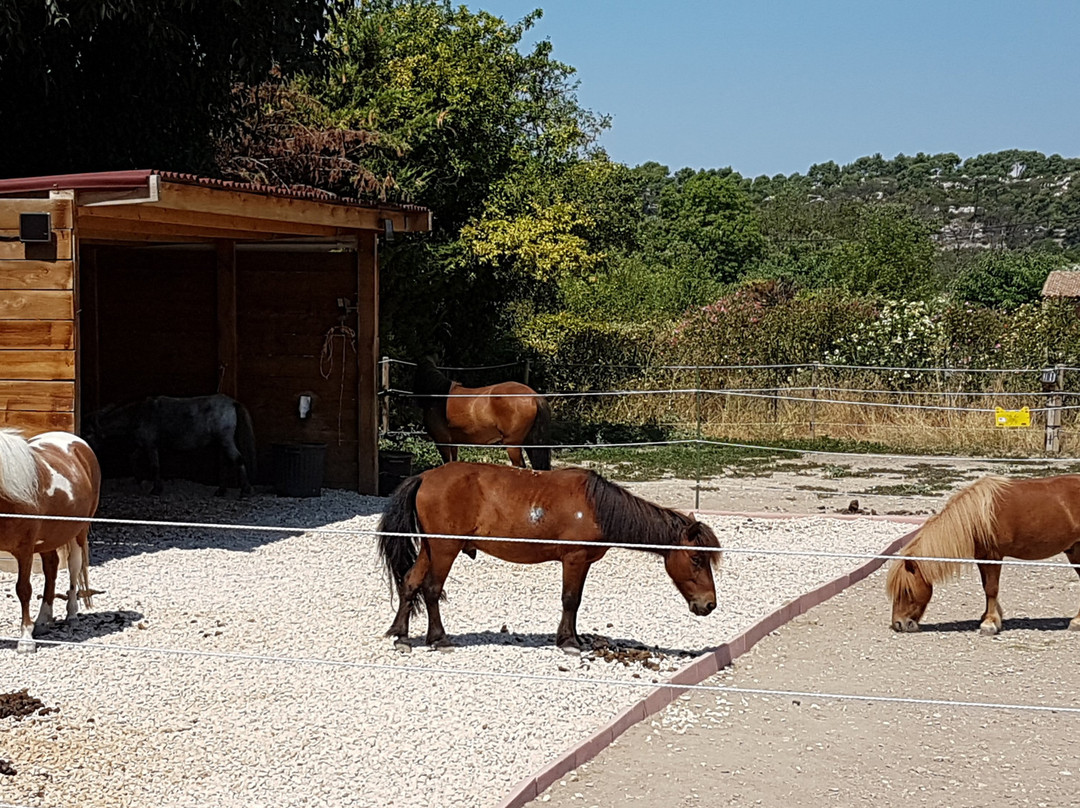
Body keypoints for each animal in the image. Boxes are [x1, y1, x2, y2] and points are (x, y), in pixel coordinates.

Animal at [0, 429, 100, 648]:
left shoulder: (25, 550)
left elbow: (23, 589)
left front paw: (26, 640)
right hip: (49, 539)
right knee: (51, 568)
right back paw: (42, 621)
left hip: (78, 532)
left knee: (73, 567)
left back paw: (71, 615)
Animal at [84, 393, 257, 494]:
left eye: (89, 433)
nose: (87, 451)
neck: (138, 414)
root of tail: (232, 402)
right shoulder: (143, 445)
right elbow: (133, 457)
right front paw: (140, 480)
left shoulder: (151, 446)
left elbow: (155, 466)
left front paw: (156, 489)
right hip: (222, 442)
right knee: (226, 462)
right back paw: (221, 490)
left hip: (225, 440)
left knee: (238, 459)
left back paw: (245, 490)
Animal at [375, 460, 721, 648]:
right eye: (696, 559)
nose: (709, 605)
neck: (596, 507)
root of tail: (425, 477)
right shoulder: (575, 560)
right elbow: (570, 600)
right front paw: (568, 642)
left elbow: (575, 602)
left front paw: (573, 638)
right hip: (445, 548)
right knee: (432, 589)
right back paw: (439, 638)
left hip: (430, 548)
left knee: (411, 582)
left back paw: (400, 635)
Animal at [889, 473, 1080, 639]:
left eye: (906, 590)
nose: (899, 624)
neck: (977, 517)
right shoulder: (982, 557)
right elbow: (986, 586)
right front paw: (993, 617)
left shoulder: (993, 555)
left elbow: (991, 588)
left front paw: (989, 624)